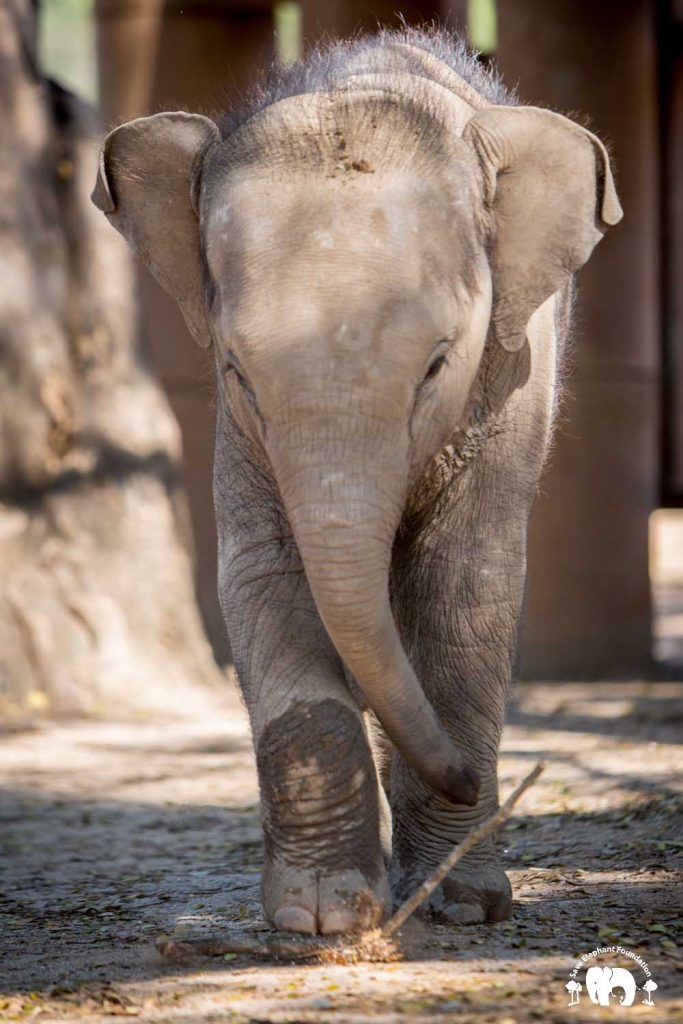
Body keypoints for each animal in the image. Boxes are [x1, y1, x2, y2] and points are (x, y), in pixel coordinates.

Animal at [93, 28, 622, 933]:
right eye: (236, 370)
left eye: (437, 365)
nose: (471, 783)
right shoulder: (240, 432)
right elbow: (266, 576)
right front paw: (323, 918)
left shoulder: (511, 380)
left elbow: (463, 584)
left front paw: (461, 907)